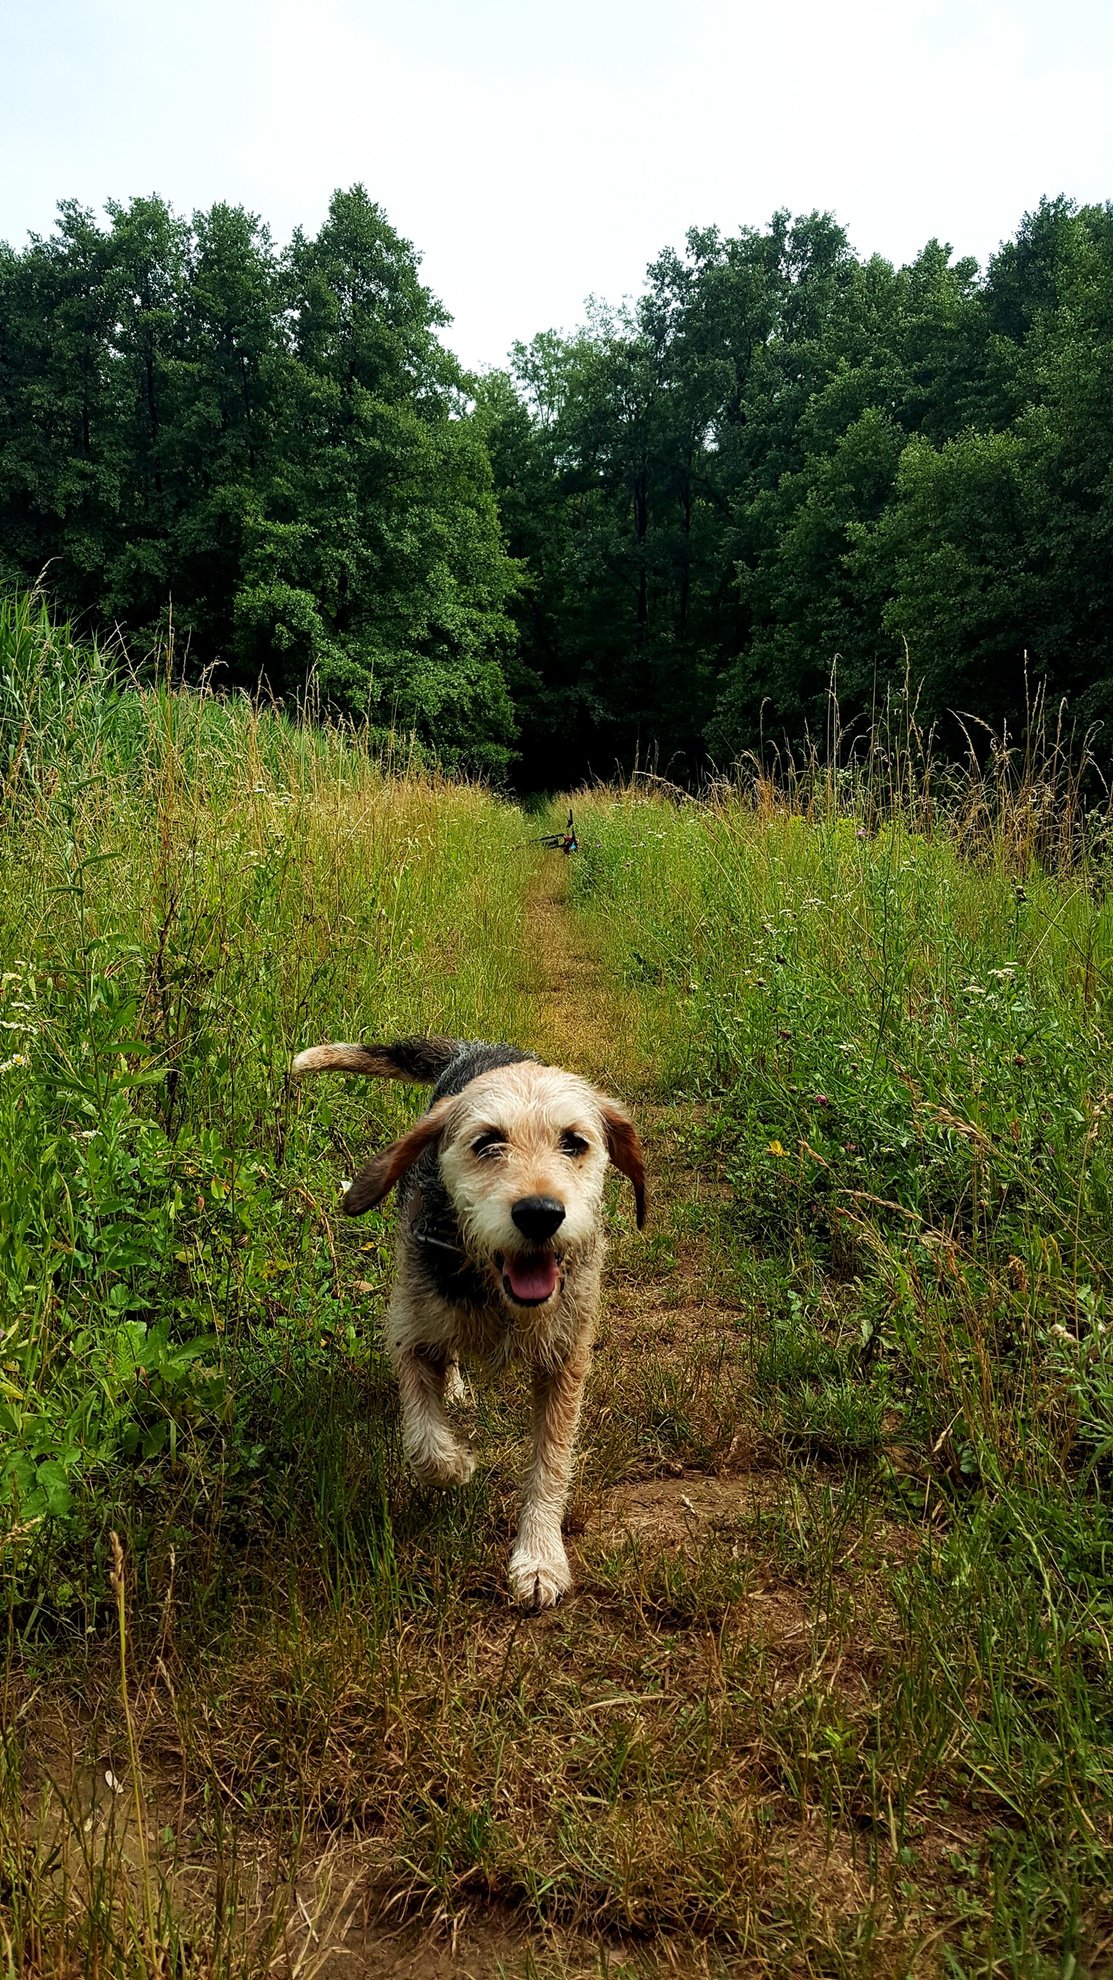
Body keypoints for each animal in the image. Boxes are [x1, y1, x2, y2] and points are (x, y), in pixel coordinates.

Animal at [291, 1037, 645, 1607]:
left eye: (574, 1142)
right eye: (487, 1142)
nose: (540, 1213)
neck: (497, 1296)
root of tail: (483, 1046)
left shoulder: (565, 1364)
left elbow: (551, 1464)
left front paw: (540, 1557)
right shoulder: (411, 1334)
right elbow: (423, 1440)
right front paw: (456, 1465)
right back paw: (454, 1388)